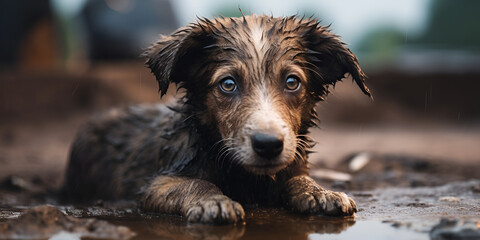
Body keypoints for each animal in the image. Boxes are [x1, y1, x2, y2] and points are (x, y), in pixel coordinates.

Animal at [63, 14, 372, 225]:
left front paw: (320, 192)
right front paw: (213, 200)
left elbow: (298, 177)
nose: (268, 145)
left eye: (292, 82)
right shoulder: (154, 184)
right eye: (228, 84)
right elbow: (192, 183)